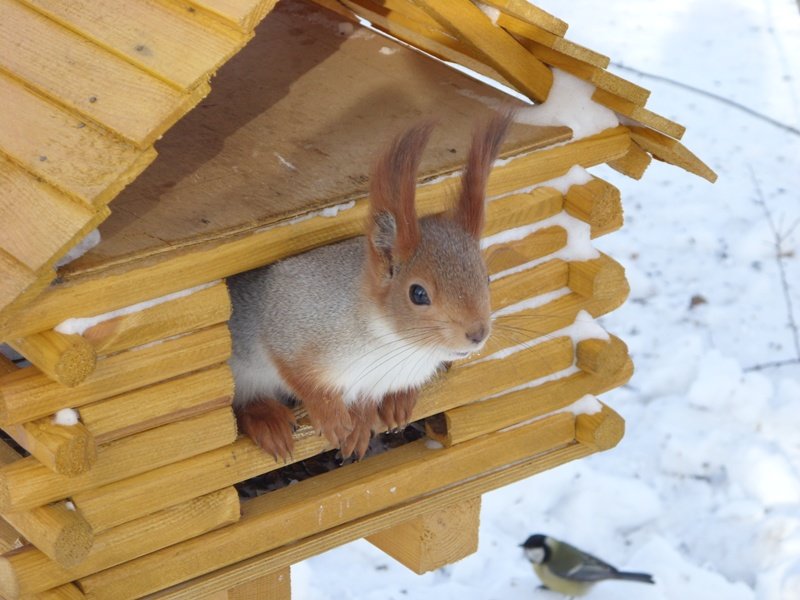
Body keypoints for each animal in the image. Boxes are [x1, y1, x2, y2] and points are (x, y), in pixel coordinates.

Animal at [227, 111, 513, 461]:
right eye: (418, 293)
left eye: (486, 277)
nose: (477, 333)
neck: (394, 344)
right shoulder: (291, 321)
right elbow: (299, 375)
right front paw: (332, 416)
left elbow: (363, 403)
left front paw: (361, 422)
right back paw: (267, 419)